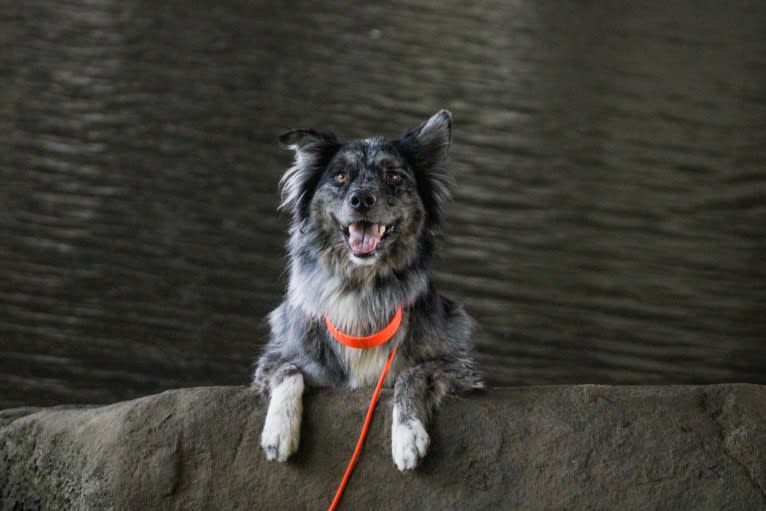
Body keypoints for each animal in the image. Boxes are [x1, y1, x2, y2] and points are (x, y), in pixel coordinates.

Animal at [258, 111, 486, 472]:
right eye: (340, 176)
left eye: (393, 175)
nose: (362, 199)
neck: (360, 288)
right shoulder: (276, 357)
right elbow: (288, 370)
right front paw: (279, 432)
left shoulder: (459, 368)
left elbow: (411, 373)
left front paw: (407, 436)